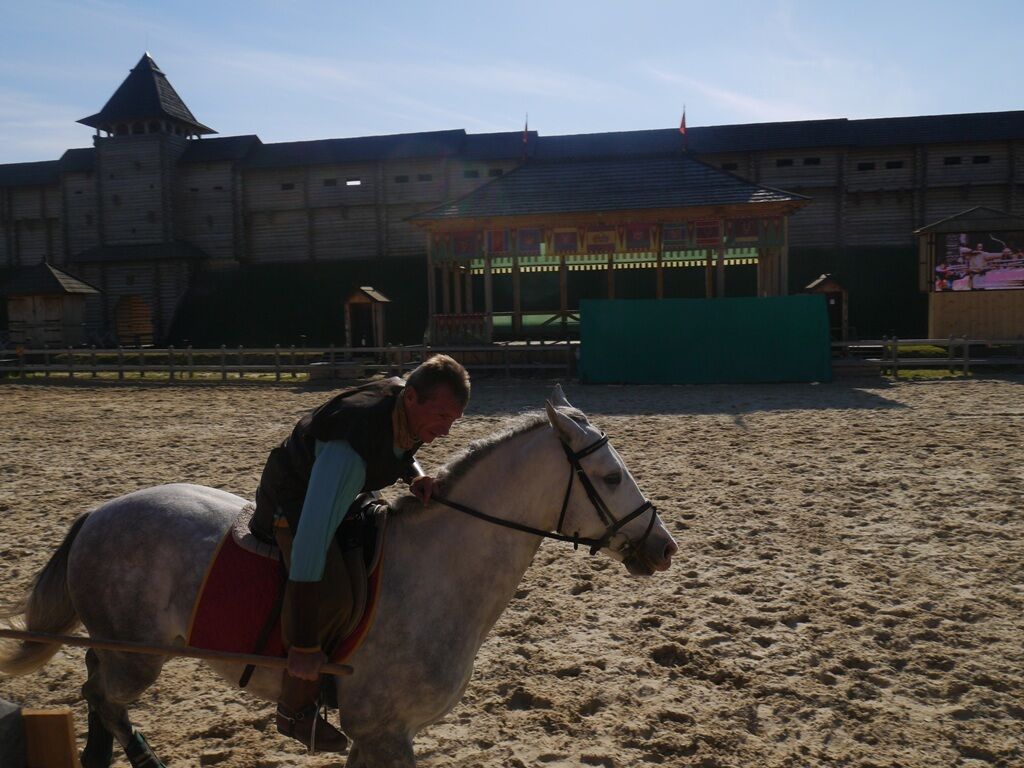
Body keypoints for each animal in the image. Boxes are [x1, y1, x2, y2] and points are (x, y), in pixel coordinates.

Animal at [0, 387, 675, 765]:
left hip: (120, 648)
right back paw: (142, 758)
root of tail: (96, 514)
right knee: (102, 697)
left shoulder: (378, 737)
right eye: (609, 478)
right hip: (135, 656)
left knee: (96, 693)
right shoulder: (383, 733)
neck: (437, 575)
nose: (663, 547)